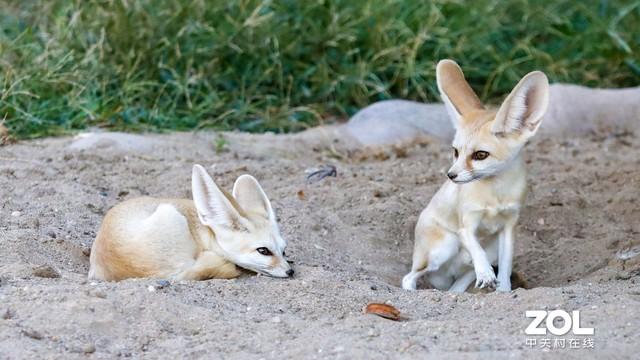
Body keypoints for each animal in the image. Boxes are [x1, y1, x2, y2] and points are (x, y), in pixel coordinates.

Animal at [402, 59, 548, 292]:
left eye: (480, 155)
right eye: (455, 152)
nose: (451, 175)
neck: (495, 194)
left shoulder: (509, 226)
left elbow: (505, 267)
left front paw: (504, 291)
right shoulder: (466, 225)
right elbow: (476, 249)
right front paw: (486, 274)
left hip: (489, 249)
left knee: (457, 287)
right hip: (444, 247)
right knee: (408, 278)